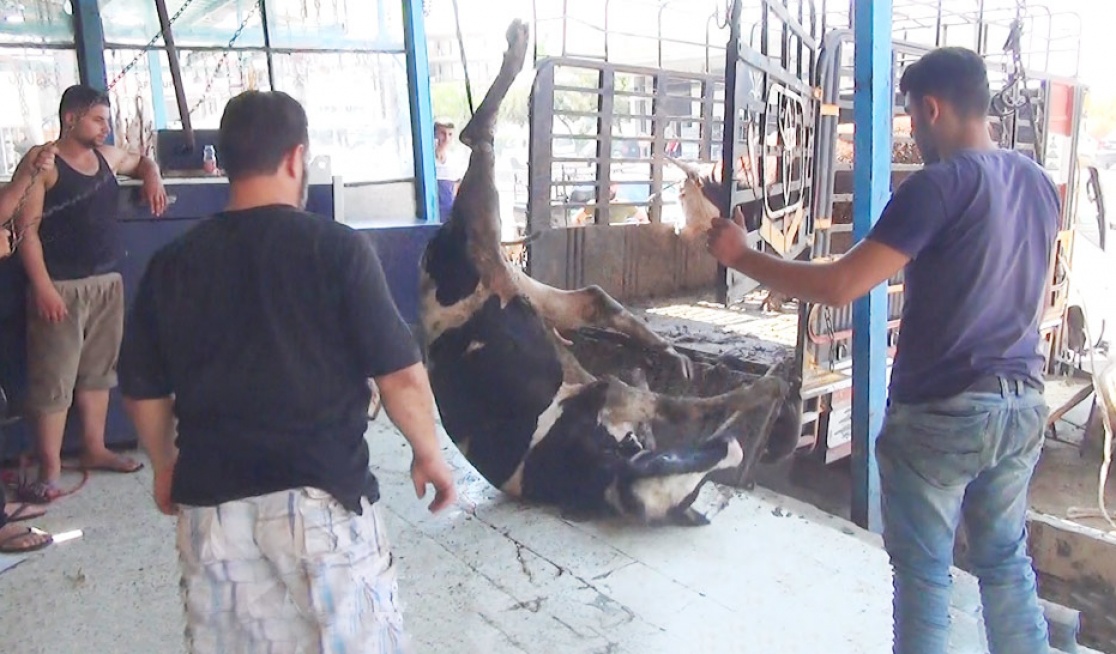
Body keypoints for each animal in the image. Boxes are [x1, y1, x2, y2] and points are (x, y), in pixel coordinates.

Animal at [419, 20, 803, 524]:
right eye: (680, 464)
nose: (730, 450)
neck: (604, 474)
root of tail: (437, 248)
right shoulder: (618, 395)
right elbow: (692, 406)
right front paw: (770, 385)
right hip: (481, 232)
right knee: (476, 135)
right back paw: (517, 44)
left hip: (513, 277)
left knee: (590, 297)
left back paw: (667, 351)